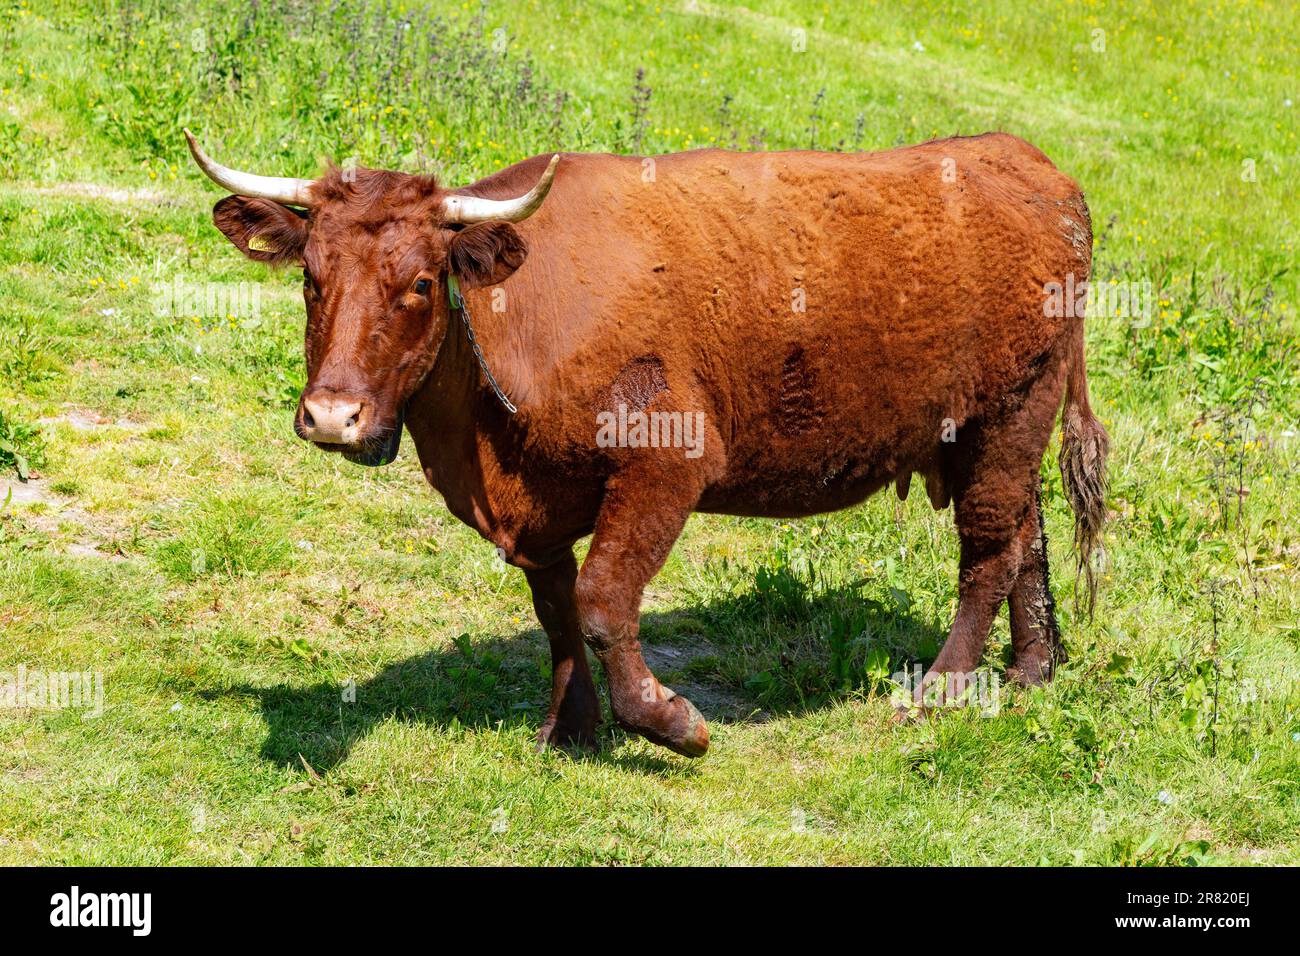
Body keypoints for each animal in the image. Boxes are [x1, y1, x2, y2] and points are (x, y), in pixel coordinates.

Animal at [185, 128, 1108, 757]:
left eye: (418, 283)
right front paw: (570, 727)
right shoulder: (538, 505)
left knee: (989, 548)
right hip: (992, 431)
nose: (331, 415)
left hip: (1011, 414)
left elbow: (601, 601)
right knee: (1025, 538)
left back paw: (943, 688)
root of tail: (1028, 163)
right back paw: (1032, 670)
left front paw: (670, 721)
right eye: (311, 278)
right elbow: (557, 610)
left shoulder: (669, 463)